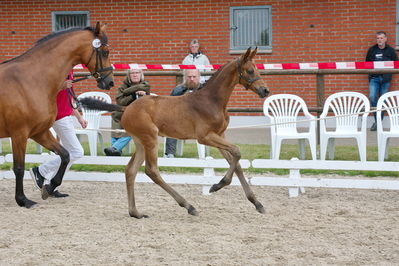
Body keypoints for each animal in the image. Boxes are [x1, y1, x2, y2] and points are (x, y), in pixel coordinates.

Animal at [0, 22, 115, 208]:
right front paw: (23, 199)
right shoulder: (19, 134)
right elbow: (19, 168)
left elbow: (65, 155)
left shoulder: (39, 132)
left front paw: (50, 186)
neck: (30, 80)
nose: (110, 82)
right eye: (105, 52)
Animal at [81, 47, 268, 218]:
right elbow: (237, 152)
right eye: (250, 70)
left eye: (257, 69)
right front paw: (217, 185)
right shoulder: (205, 137)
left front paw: (257, 203)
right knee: (151, 170)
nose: (265, 90)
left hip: (141, 141)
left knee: (130, 170)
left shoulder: (220, 135)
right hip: (150, 138)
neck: (212, 100)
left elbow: (235, 162)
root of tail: (126, 108)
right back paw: (188, 206)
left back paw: (135, 212)